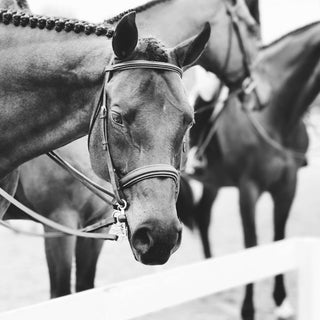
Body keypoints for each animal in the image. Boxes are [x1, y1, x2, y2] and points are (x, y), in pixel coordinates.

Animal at [189, 21, 320, 318]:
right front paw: (248, 308)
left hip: (213, 182)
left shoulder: (287, 186)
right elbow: (252, 244)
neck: (275, 112)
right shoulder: (248, 189)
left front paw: (281, 301)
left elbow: (279, 237)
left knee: (203, 216)